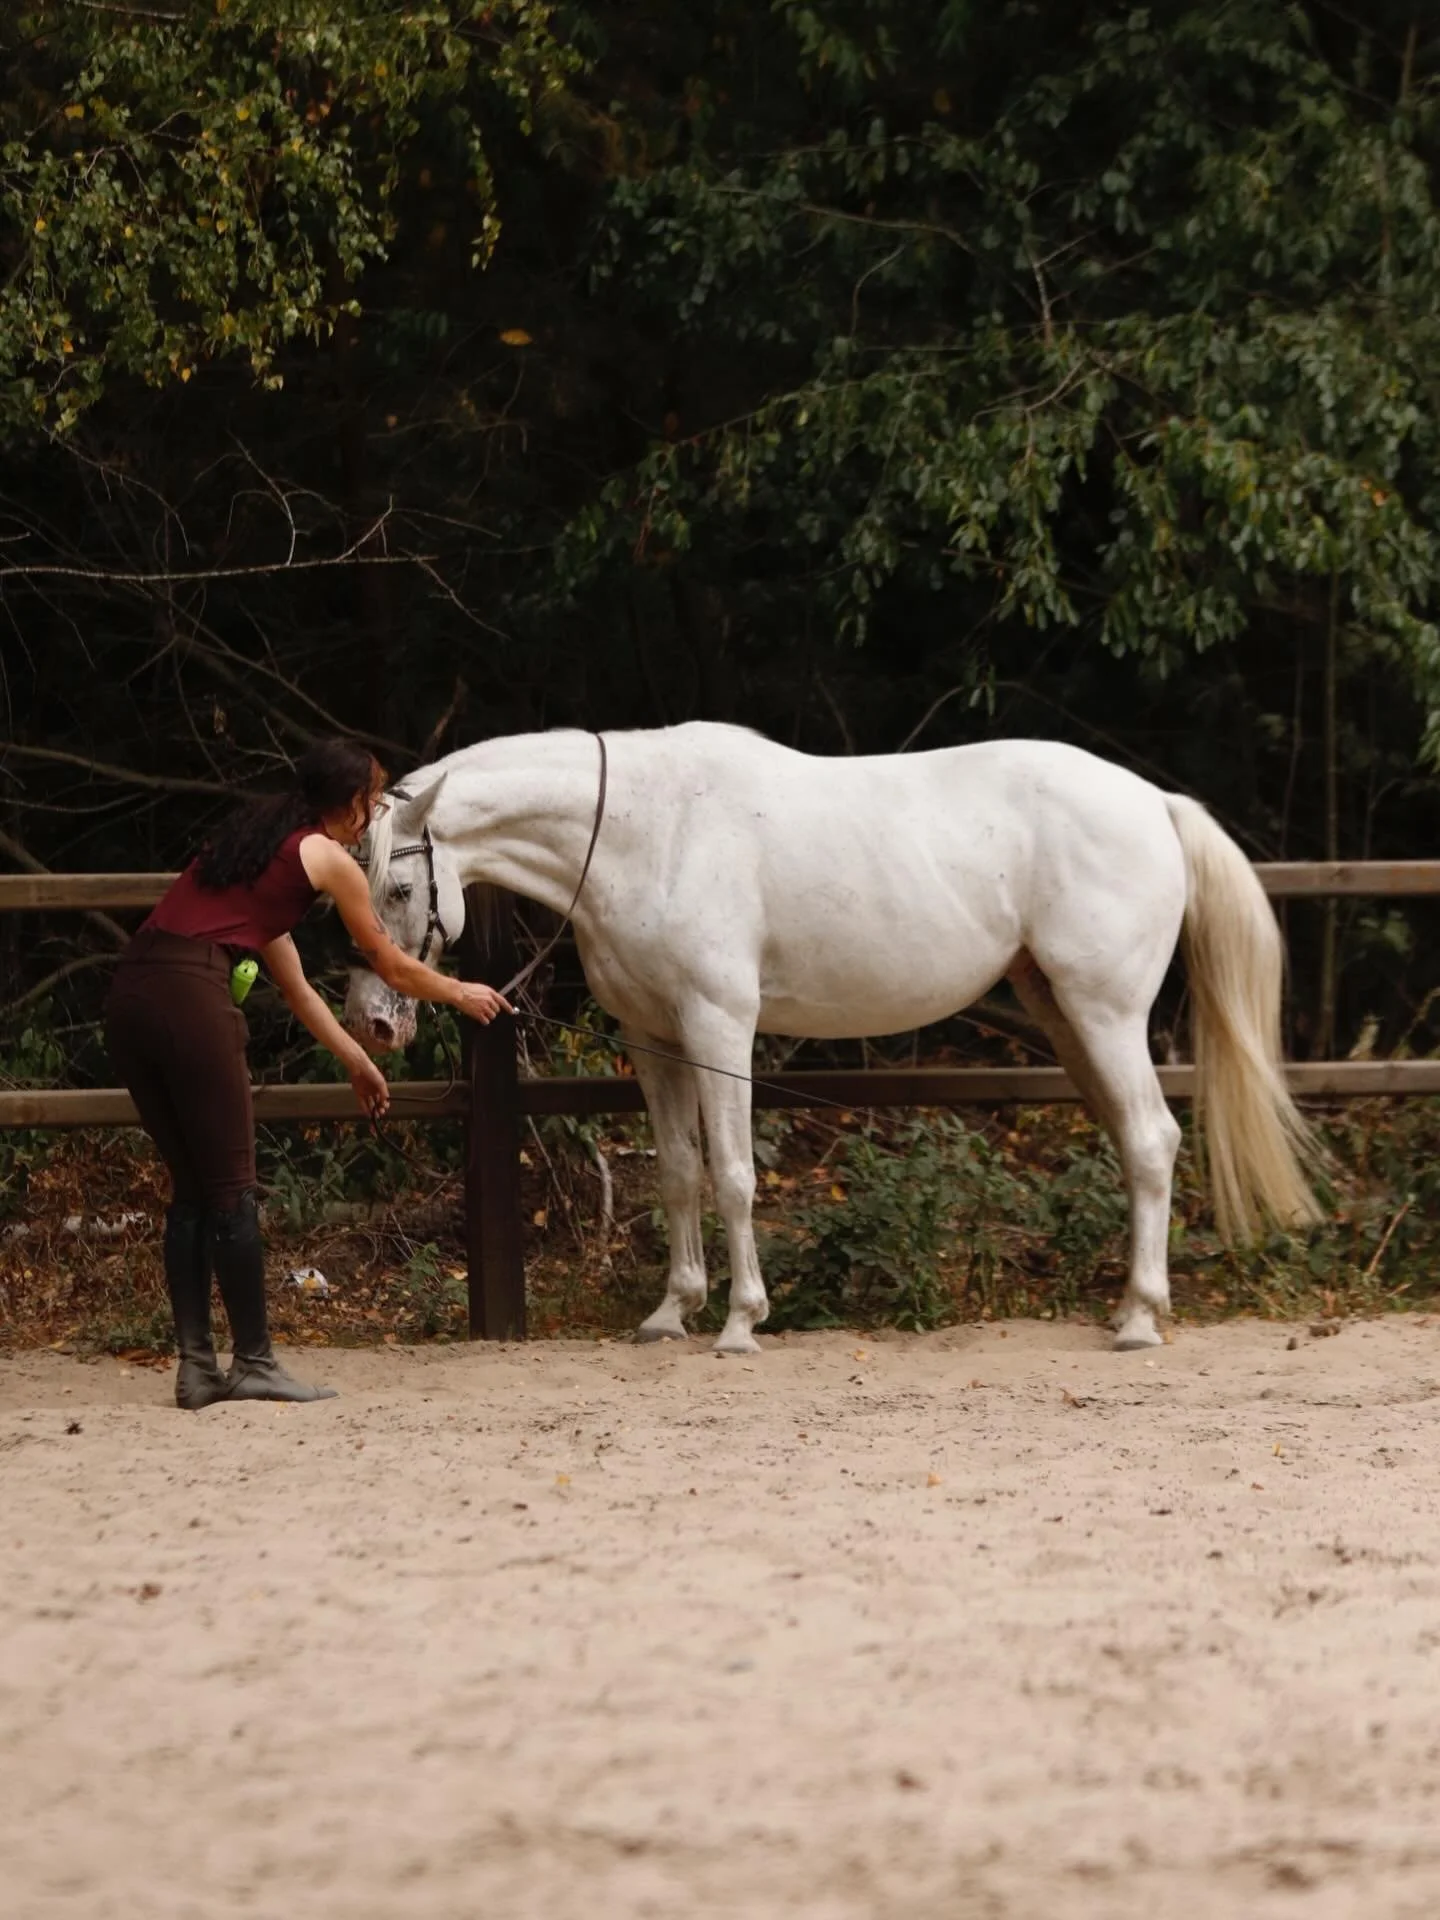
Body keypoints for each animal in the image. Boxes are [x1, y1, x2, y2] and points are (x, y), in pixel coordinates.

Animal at [342, 723, 1319, 1355]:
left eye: (398, 890)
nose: (373, 1021)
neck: (645, 832)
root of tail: (1154, 803)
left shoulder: (719, 1024)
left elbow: (735, 1175)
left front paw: (741, 1322)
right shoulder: (654, 1038)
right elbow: (679, 1173)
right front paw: (670, 1314)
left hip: (1107, 1011)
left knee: (1152, 1140)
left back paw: (1141, 1320)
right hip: (1063, 1013)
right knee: (1130, 1140)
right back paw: (1126, 1307)